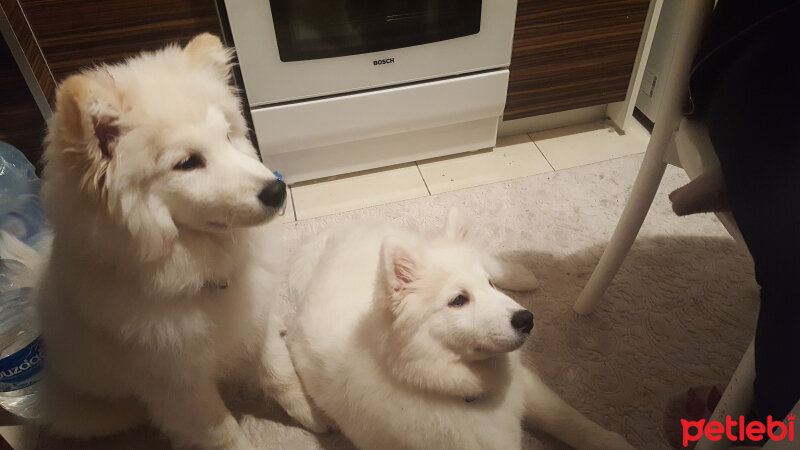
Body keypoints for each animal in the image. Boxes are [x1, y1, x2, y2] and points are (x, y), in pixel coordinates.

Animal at [15, 34, 324, 446]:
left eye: (228, 137)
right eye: (188, 163)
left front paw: (317, 417)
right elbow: (224, 434)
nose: (277, 191)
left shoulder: (253, 328)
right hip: (99, 413)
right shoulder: (178, 387)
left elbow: (281, 376)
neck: (198, 270)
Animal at [286, 212, 632, 450]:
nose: (527, 319)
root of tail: (326, 235)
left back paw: (521, 275)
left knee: (487, 256)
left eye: (489, 286)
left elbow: (566, 418)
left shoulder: (527, 385)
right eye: (458, 301)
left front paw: (612, 442)